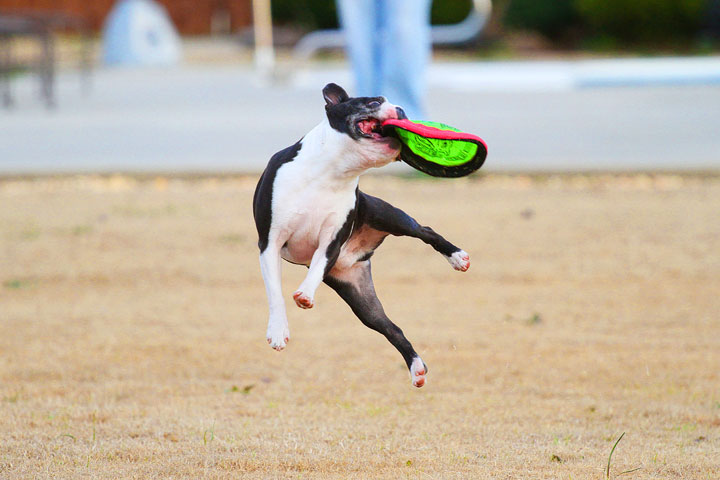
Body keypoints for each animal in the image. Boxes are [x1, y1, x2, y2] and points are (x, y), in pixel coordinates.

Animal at [255, 84, 472, 388]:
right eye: (373, 101)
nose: (401, 110)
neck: (330, 173)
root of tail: (360, 253)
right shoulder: (270, 242)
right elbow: (274, 289)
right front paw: (277, 331)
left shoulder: (332, 241)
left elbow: (316, 267)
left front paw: (306, 294)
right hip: (360, 296)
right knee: (390, 328)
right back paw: (416, 368)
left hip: (389, 216)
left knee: (425, 231)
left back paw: (457, 257)